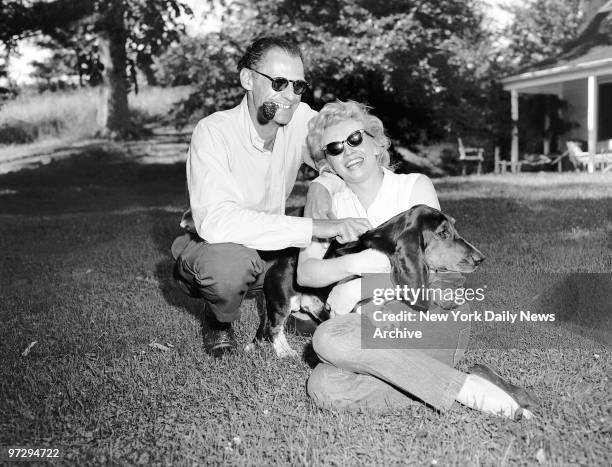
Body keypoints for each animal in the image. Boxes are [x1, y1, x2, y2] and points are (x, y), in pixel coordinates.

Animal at [246, 206, 486, 358]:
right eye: (443, 232)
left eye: (454, 227)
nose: (480, 259)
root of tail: (278, 260)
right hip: (281, 303)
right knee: (274, 329)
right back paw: (284, 352)